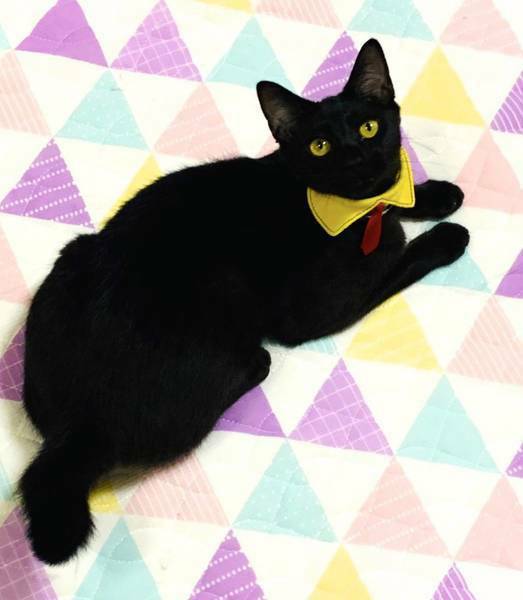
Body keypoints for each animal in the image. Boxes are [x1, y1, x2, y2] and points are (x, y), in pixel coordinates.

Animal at [19, 39, 469, 565]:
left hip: (72, 259)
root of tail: (78, 429)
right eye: (319, 146)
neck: (349, 209)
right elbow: (400, 258)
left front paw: (437, 193)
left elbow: (397, 198)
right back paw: (253, 363)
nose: (358, 155)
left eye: (368, 127)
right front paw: (445, 235)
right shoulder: (318, 308)